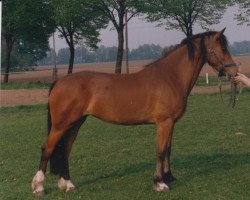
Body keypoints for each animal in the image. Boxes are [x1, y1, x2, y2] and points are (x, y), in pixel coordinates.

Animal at [31, 28, 238, 195]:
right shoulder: (164, 122)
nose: (234, 73)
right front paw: (160, 183)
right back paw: (39, 187)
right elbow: (160, 150)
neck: (170, 77)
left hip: (75, 123)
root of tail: (60, 81)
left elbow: (168, 150)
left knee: (65, 150)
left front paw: (169, 177)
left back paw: (68, 184)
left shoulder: (171, 123)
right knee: (47, 148)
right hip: (61, 125)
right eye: (223, 49)